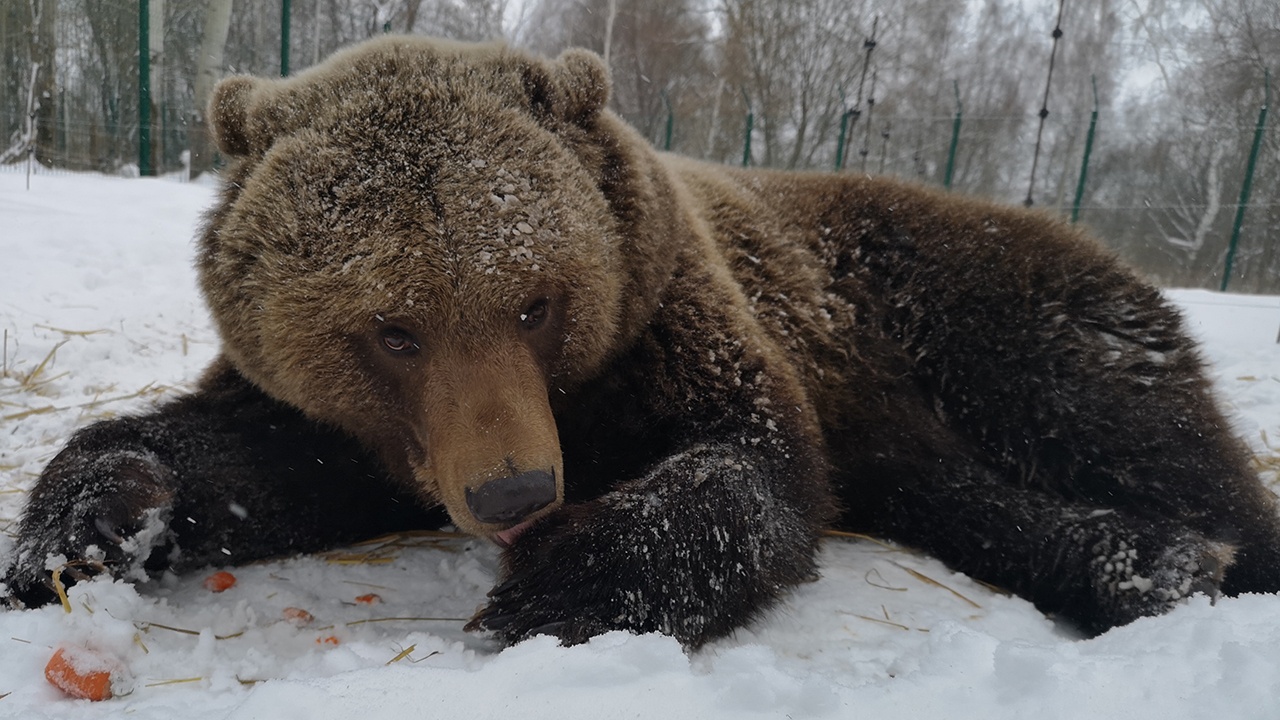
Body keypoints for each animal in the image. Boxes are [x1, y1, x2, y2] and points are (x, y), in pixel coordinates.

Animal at [2, 36, 1280, 648]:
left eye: (534, 300)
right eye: (392, 329)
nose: (515, 492)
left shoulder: (676, 322)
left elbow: (752, 466)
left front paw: (560, 579)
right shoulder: (378, 428)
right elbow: (256, 457)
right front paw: (91, 521)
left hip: (976, 309)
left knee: (1131, 425)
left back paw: (1195, 549)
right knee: (940, 483)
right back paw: (1137, 558)